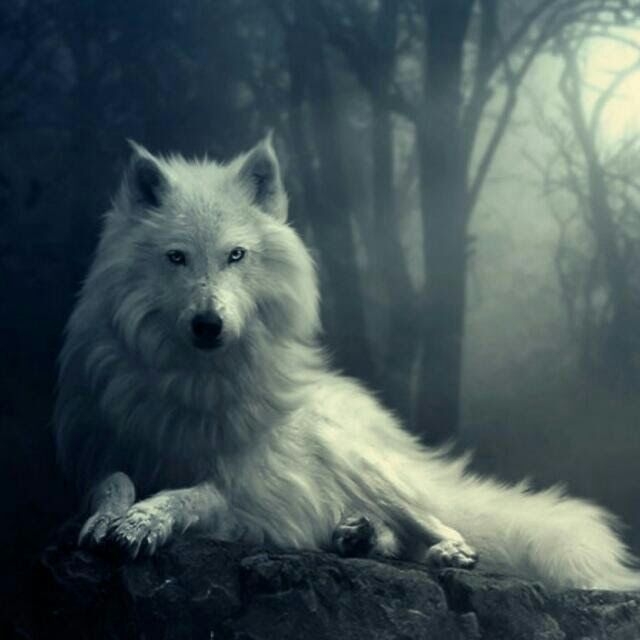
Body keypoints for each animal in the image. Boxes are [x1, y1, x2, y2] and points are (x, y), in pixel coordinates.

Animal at [55, 135, 640, 591]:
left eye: (236, 255)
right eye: (176, 257)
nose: (208, 325)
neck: (195, 382)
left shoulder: (246, 488)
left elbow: (188, 495)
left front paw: (143, 521)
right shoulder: (98, 449)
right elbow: (112, 481)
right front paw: (107, 519)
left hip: (357, 460)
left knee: (440, 523)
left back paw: (442, 551)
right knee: (386, 533)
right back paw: (356, 535)